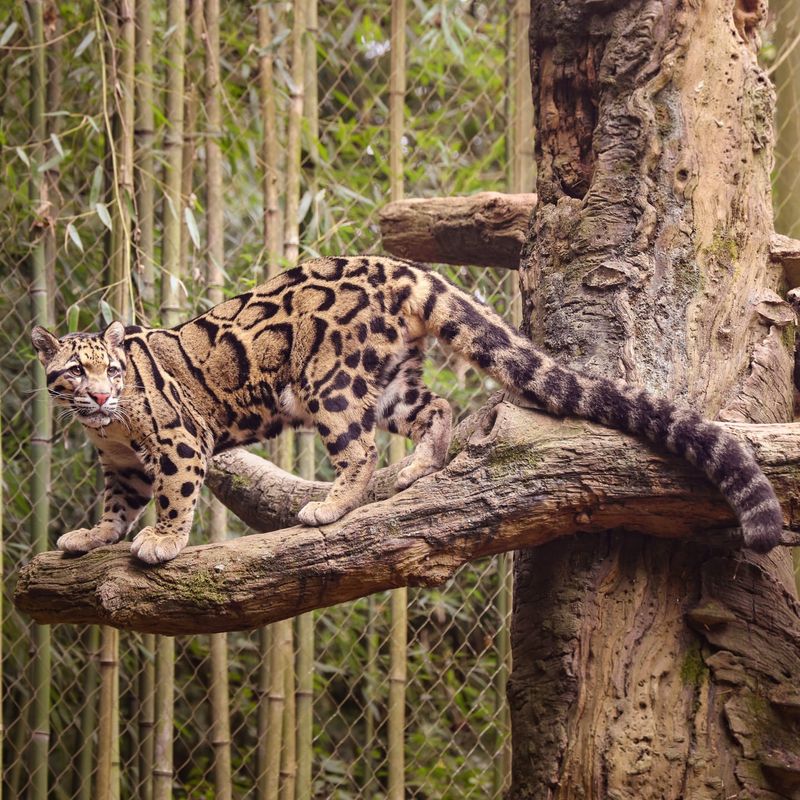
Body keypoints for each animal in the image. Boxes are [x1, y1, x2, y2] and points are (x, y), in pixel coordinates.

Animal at [29, 256, 780, 564]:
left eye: (112, 371)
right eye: (74, 373)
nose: (102, 396)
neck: (109, 429)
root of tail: (393, 264)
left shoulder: (178, 439)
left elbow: (174, 496)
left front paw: (160, 542)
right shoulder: (122, 465)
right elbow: (115, 505)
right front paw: (89, 537)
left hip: (330, 383)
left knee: (359, 450)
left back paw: (330, 507)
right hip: (389, 379)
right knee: (436, 406)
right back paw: (420, 469)